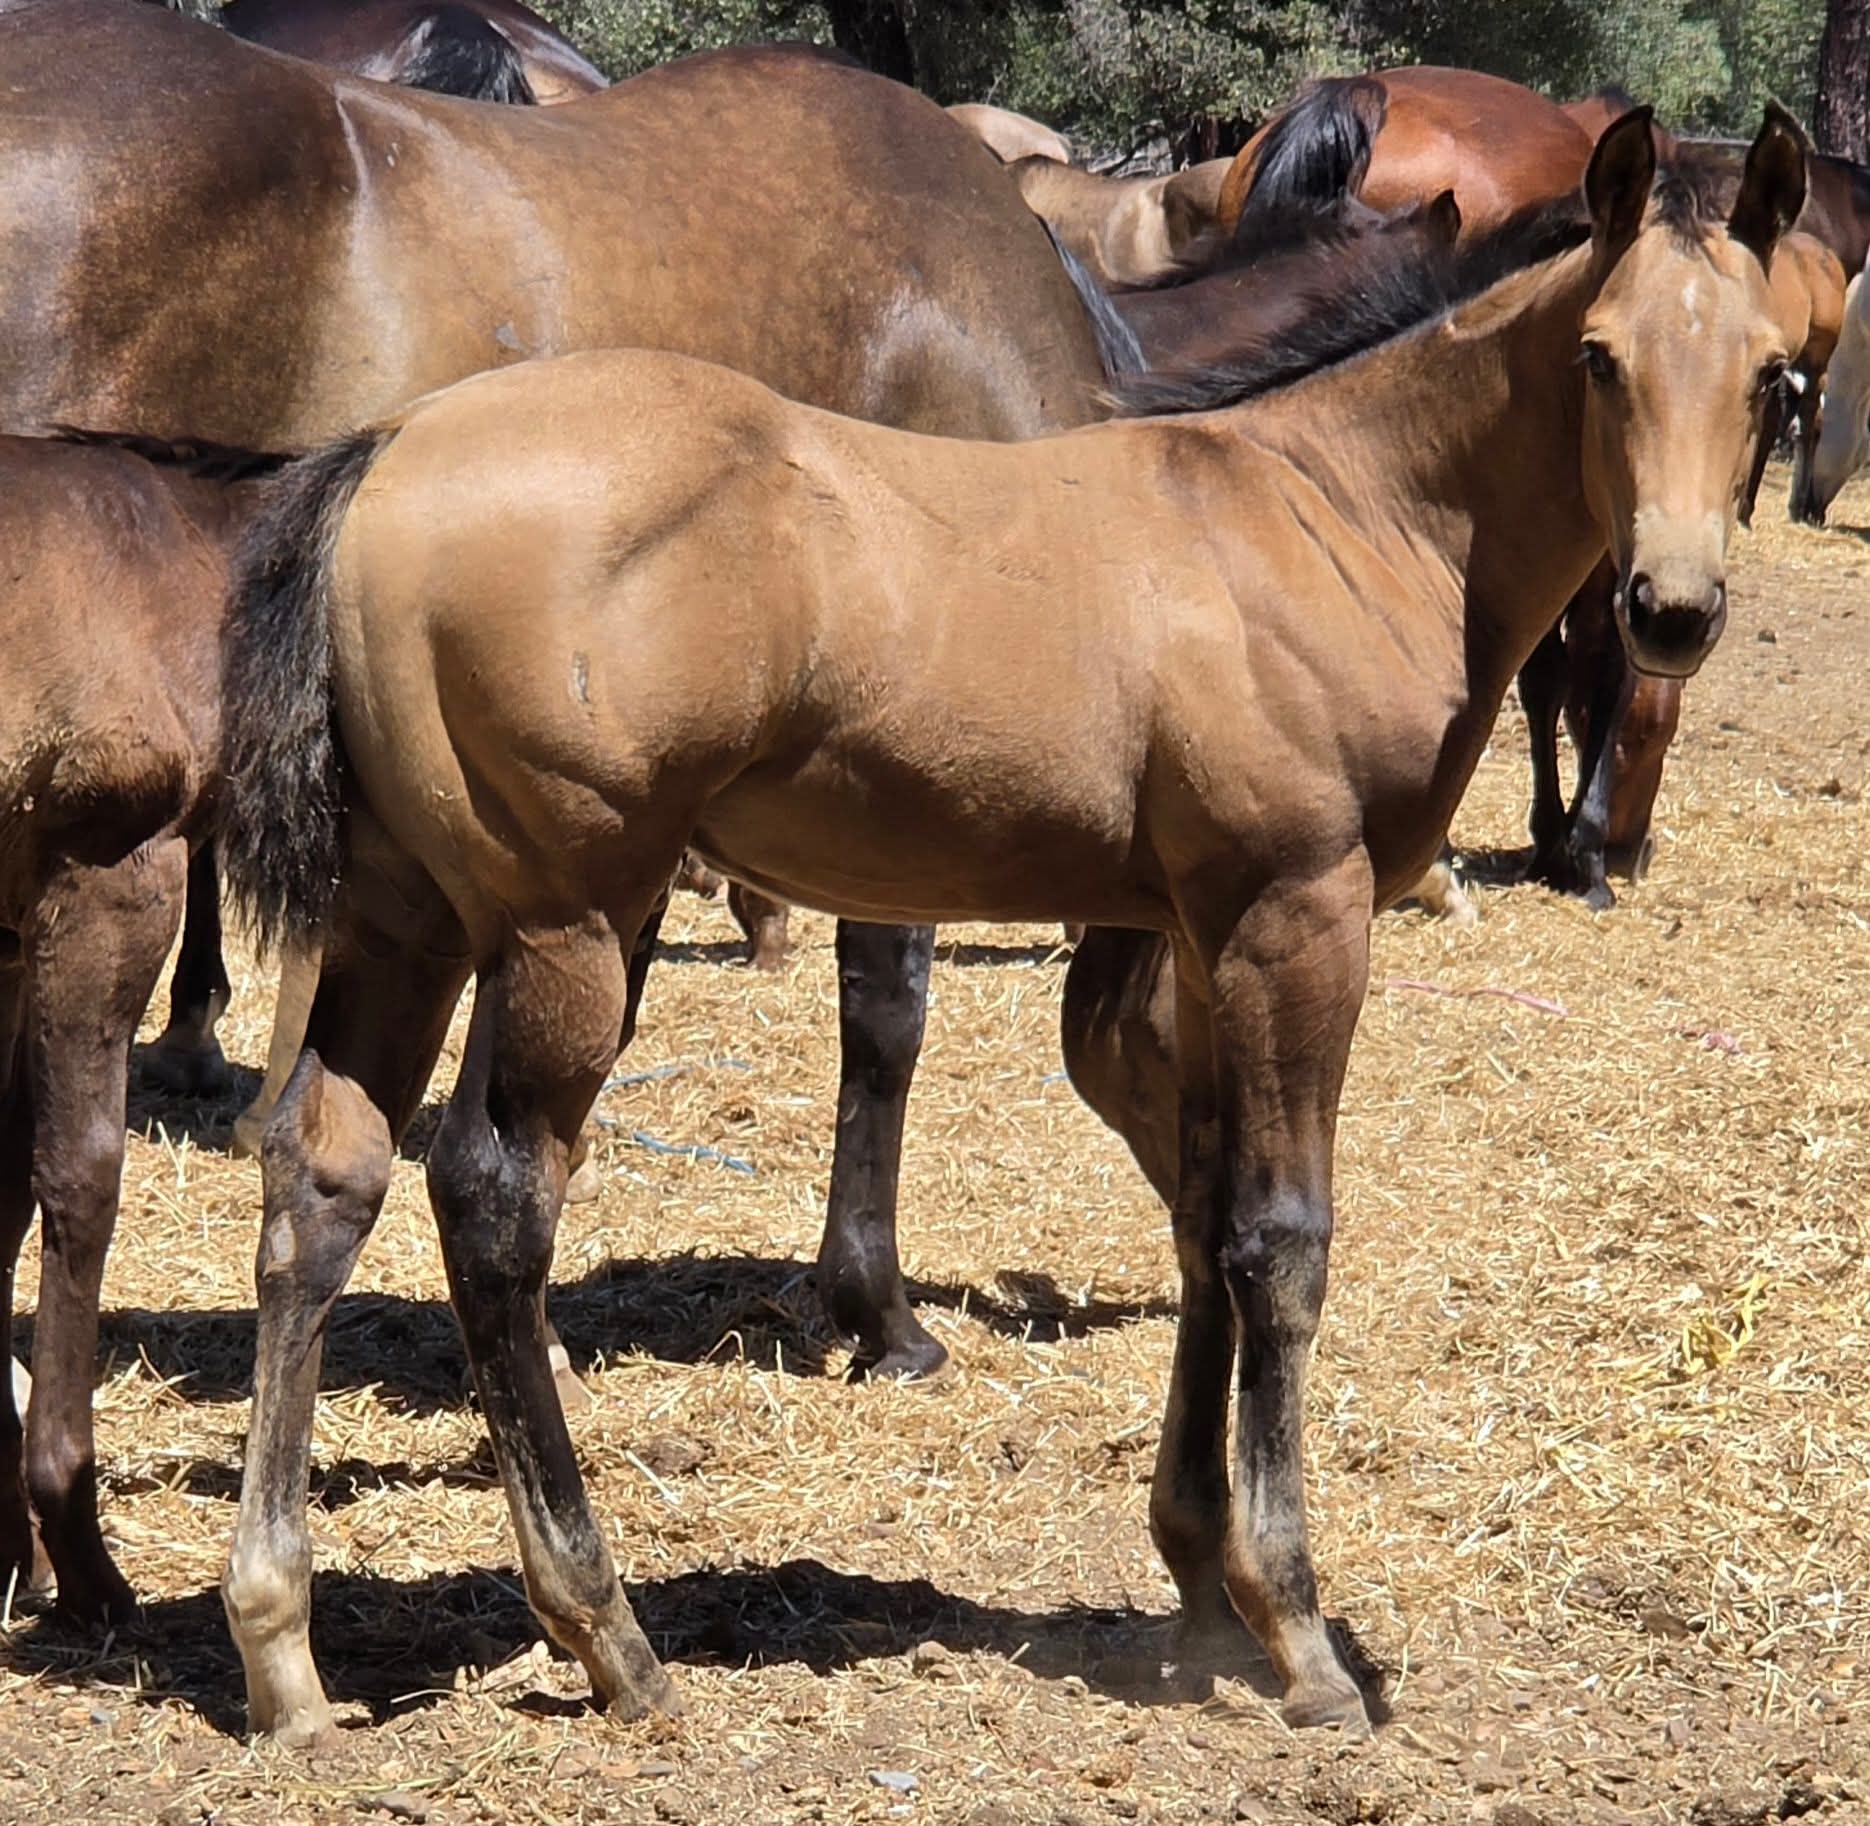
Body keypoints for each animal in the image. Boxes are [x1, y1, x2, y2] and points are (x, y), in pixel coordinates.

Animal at [212, 105, 1801, 1743]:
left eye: (1772, 375)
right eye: (1600, 358)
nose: (1672, 609)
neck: (1331, 510)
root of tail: (389, 452)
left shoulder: (1194, 932)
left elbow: (1203, 1212)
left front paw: (1200, 1574)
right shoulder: (1296, 909)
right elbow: (1280, 1240)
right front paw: (1296, 1629)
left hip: (405, 920)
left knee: (325, 1171)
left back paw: (282, 1643)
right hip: (571, 922)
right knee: (493, 1198)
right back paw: (607, 1628)